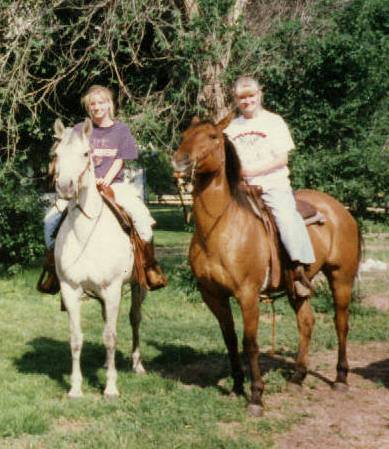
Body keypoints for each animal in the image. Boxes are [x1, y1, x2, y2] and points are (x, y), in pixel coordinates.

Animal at [52, 117, 146, 398]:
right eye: (56, 154)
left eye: (86, 154)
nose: (65, 186)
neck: (86, 235)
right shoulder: (70, 290)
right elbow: (76, 339)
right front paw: (75, 388)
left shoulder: (113, 289)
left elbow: (111, 337)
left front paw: (111, 388)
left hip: (137, 286)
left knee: (134, 319)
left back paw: (137, 364)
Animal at [173, 115, 360, 416]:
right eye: (184, 135)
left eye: (213, 136)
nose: (180, 161)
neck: (219, 228)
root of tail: (341, 210)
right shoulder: (213, 295)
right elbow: (230, 339)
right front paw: (237, 386)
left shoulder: (248, 295)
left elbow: (250, 343)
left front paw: (256, 397)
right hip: (298, 287)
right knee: (306, 322)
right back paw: (297, 377)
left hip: (341, 277)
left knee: (341, 323)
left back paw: (341, 378)